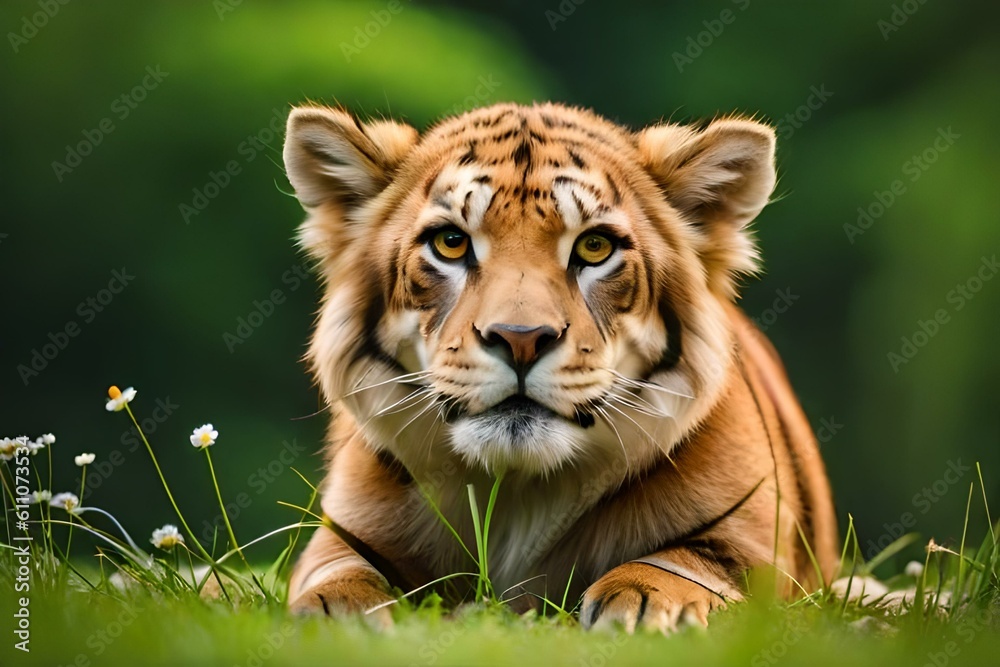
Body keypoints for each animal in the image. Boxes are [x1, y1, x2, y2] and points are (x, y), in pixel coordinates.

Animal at [280, 101, 838, 633]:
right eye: (451, 243)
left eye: (594, 246)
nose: (521, 339)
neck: (518, 490)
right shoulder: (343, 532)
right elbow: (338, 571)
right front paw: (338, 613)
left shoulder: (748, 543)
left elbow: (684, 565)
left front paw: (643, 606)